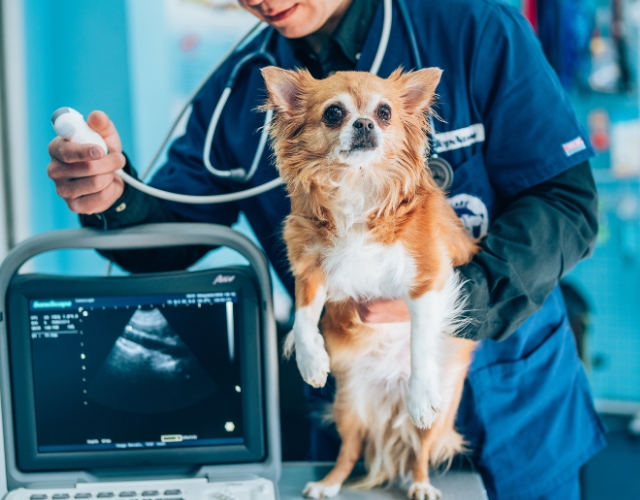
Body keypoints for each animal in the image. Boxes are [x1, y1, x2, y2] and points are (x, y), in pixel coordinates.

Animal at [262, 67, 478, 500]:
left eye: (384, 112)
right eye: (333, 113)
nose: (364, 123)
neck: (358, 183)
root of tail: (388, 398)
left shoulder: (426, 279)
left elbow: (420, 342)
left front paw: (420, 392)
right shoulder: (310, 270)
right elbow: (303, 318)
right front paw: (312, 361)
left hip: (438, 419)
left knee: (419, 454)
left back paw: (421, 483)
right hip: (349, 406)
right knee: (349, 452)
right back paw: (327, 484)